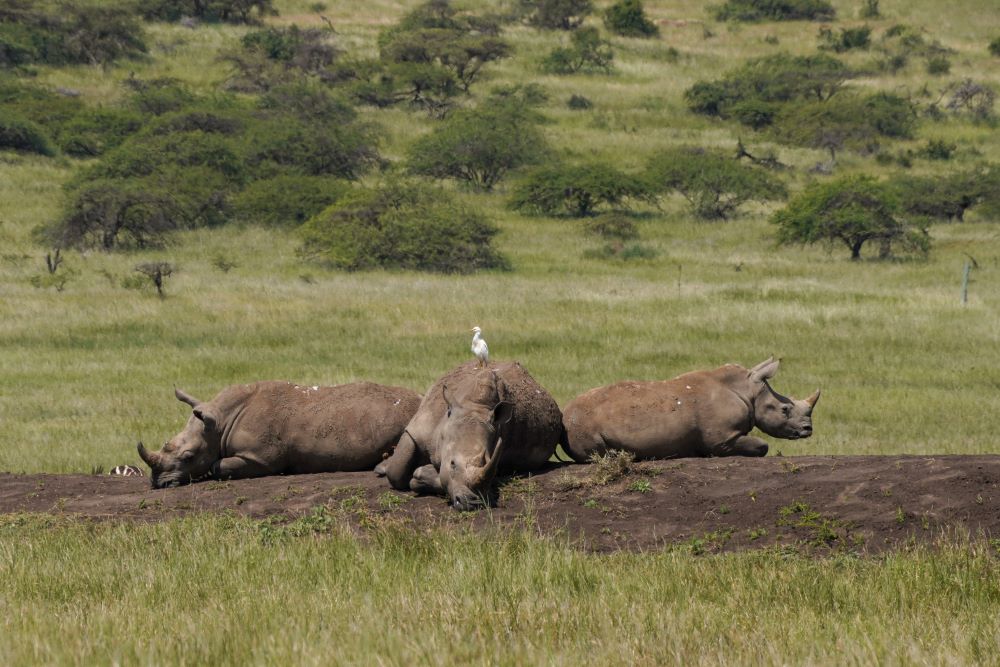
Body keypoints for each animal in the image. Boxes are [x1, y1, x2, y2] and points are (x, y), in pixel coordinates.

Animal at [376, 360, 564, 512]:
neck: (473, 407)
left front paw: (423, 474)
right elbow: (397, 472)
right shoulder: (418, 428)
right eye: (452, 464)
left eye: (490, 465)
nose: (473, 503)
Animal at [564, 358, 820, 462]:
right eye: (785, 409)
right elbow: (762, 446)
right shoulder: (723, 439)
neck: (748, 391)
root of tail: (565, 414)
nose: (808, 430)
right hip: (581, 423)